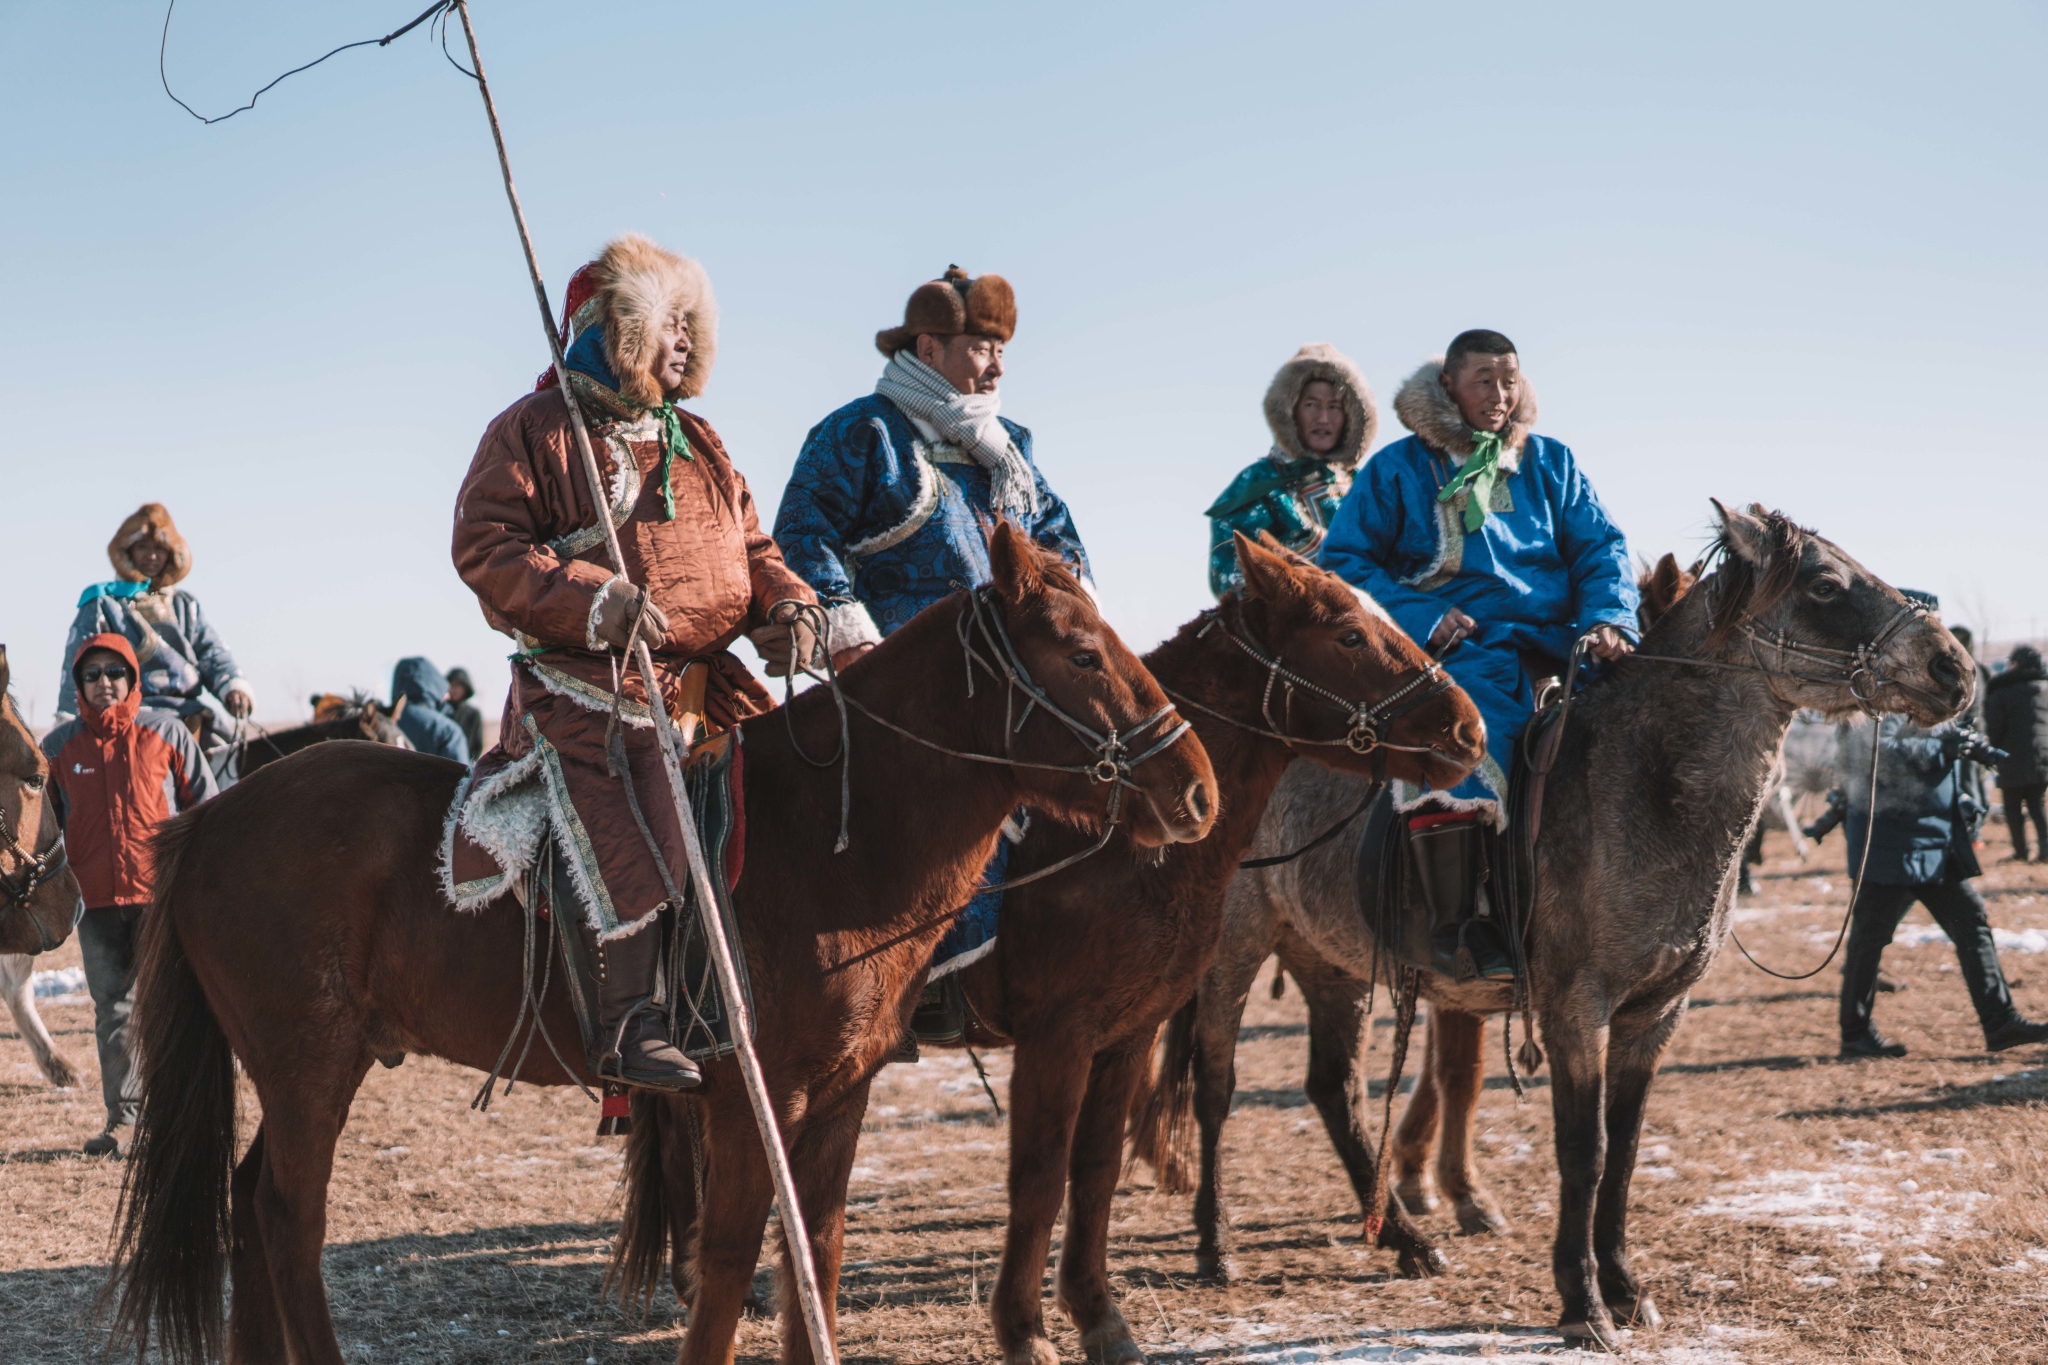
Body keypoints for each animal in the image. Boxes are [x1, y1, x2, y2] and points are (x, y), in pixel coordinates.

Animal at [103, 527, 1212, 1365]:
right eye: (1079, 652)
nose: (1193, 789)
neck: (833, 840)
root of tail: (213, 815)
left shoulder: (842, 1093)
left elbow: (815, 1251)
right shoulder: (751, 1097)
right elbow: (728, 1262)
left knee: (249, 1203)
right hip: (308, 1064)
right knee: (288, 1214)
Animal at [606, 532, 1490, 1365]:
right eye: (1349, 634)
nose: (1469, 727)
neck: (1124, 854)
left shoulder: (1126, 1034)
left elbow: (1093, 1172)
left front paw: (1099, 1315)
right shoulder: (1056, 1037)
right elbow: (1038, 1177)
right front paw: (1023, 1327)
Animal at [1130, 505, 1974, 1342]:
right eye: (1826, 585)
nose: (1954, 668)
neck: (1643, 787)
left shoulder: (1654, 1015)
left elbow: (1625, 1147)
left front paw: (1626, 1286)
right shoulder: (1577, 1009)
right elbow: (1584, 1148)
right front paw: (1583, 1299)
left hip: (1332, 964)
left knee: (1335, 1090)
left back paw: (1408, 1240)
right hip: (1233, 953)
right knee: (1215, 1085)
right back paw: (1216, 1243)